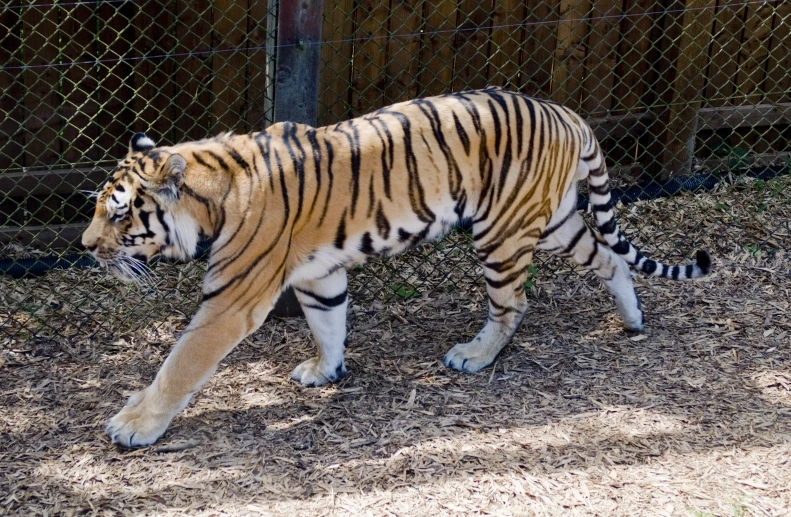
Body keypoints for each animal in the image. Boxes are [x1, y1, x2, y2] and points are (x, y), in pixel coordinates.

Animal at [80, 86, 712, 446]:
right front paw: (326, 370)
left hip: (501, 231)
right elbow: (329, 322)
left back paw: (474, 356)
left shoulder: (231, 302)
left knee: (513, 303)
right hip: (553, 221)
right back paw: (631, 319)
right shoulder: (319, 274)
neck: (213, 194)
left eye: (118, 213)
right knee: (608, 257)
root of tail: (567, 112)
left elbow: (180, 364)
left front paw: (135, 425)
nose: (86, 246)